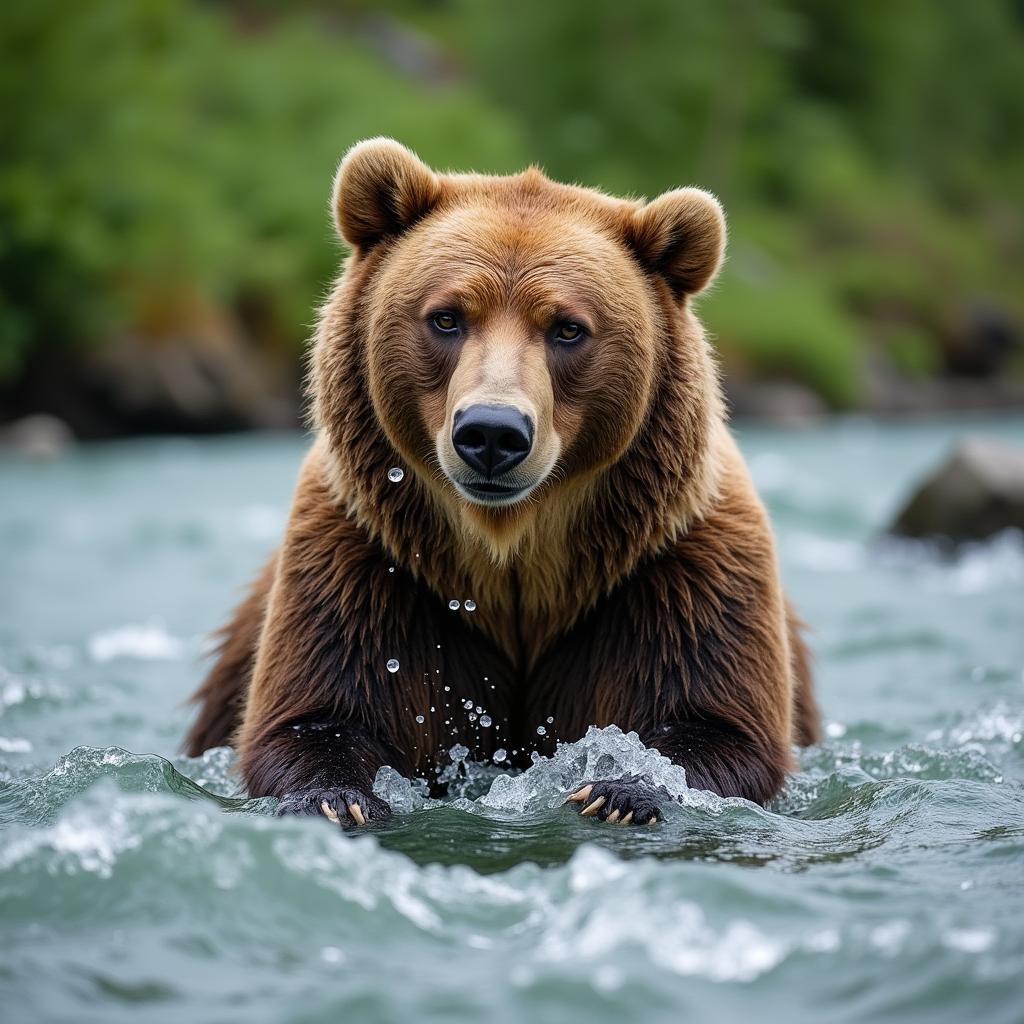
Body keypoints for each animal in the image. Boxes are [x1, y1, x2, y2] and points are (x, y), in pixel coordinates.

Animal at [184, 138, 819, 823]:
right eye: (446, 317)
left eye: (567, 327)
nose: (492, 431)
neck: (513, 558)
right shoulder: (367, 567)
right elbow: (315, 713)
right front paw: (334, 799)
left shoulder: (677, 572)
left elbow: (719, 724)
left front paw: (621, 791)